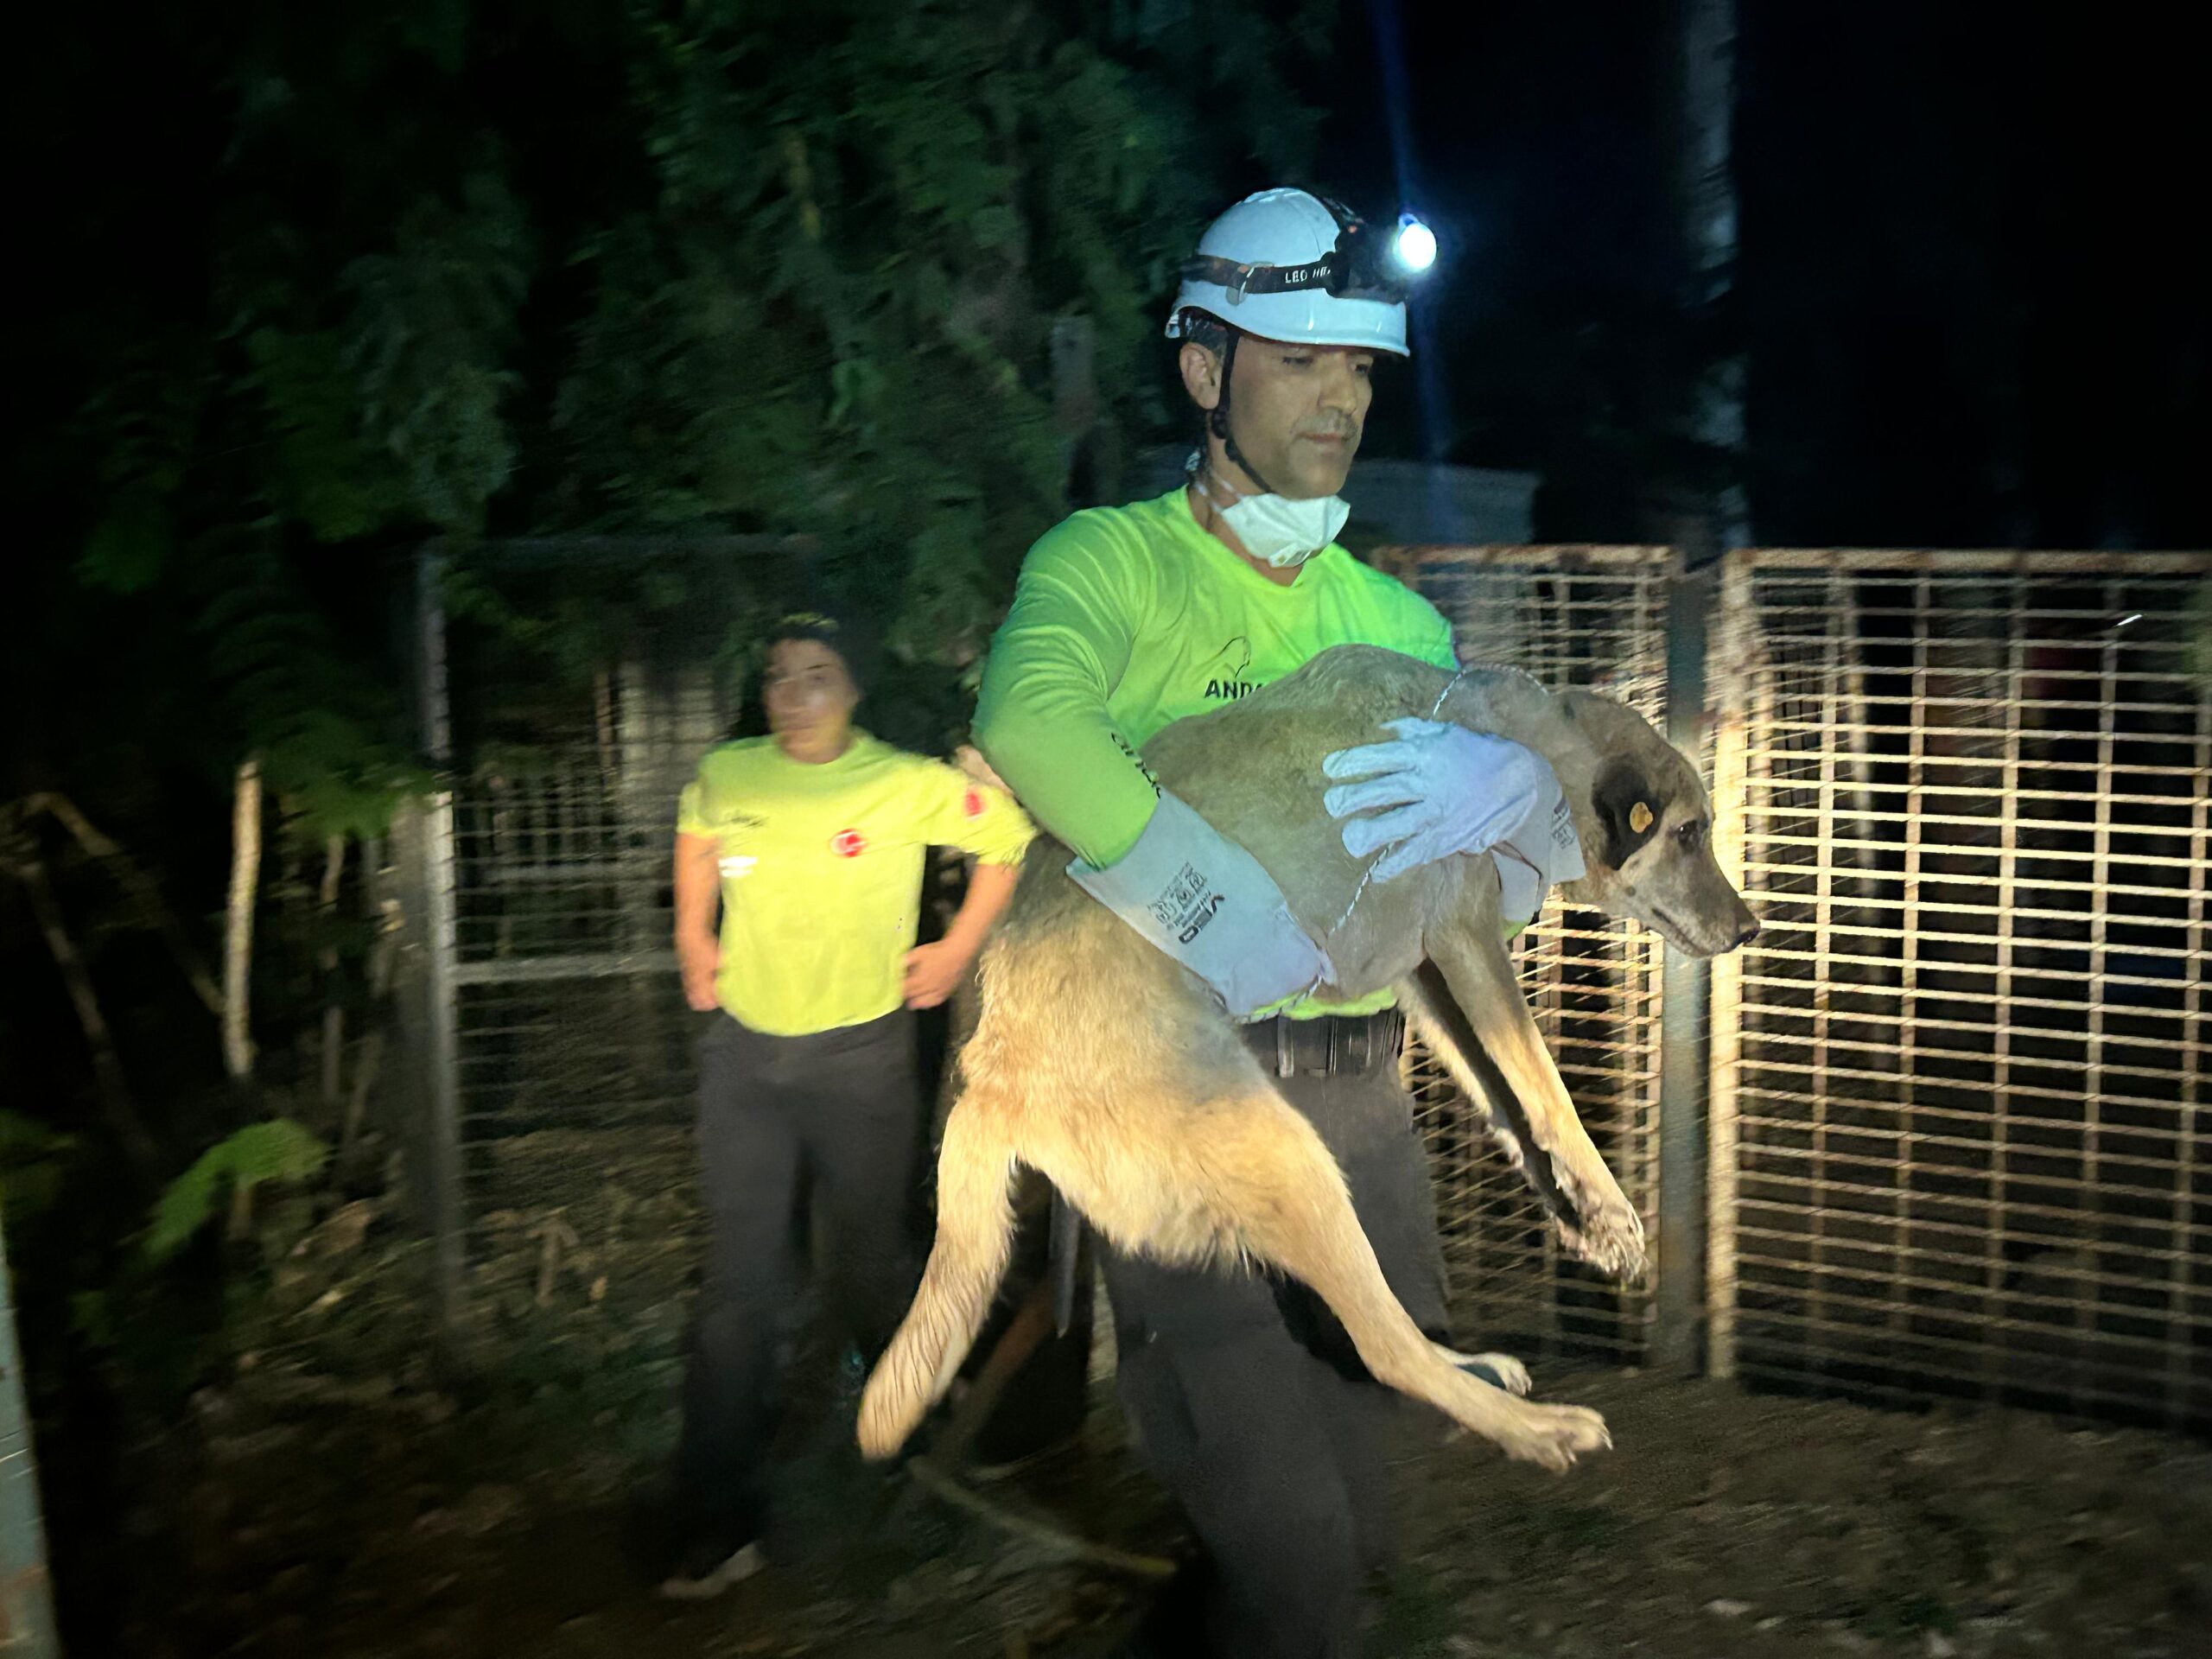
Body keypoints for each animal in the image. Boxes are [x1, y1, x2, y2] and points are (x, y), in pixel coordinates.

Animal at [854, 641, 1751, 1478]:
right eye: (1689, 832)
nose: (1751, 929)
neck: (1522, 737)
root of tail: (992, 1078)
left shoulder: (1427, 979)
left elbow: (1505, 1102)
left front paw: (1584, 1218)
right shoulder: (1466, 941)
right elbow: (1545, 1089)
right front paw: (1613, 1208)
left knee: (1384, 1335)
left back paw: (1479, 1371)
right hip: (1293, 1161)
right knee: (1384, 1348)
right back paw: (1535, 1430)